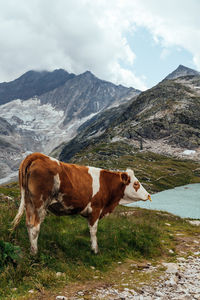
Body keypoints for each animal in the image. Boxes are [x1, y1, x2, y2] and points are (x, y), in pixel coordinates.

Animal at [11, 154, 151, 254]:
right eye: (136, 183)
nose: (149, 196)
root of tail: (37, 156)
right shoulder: (96, 209)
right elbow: (93, 230)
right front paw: (95, 250)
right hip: (40, 203)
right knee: (35, 227)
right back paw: (35, 253)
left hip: (29, 202)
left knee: (29, 224)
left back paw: (31, 251)